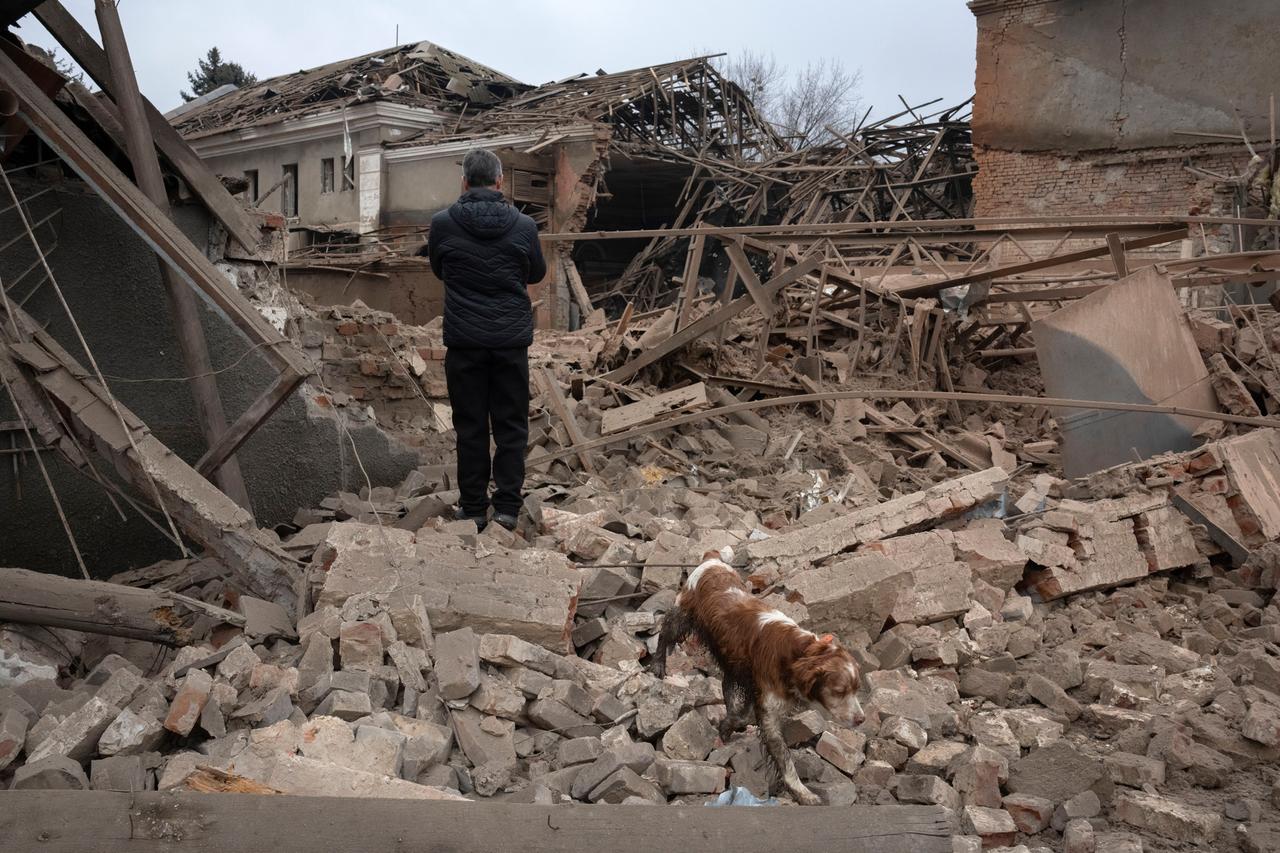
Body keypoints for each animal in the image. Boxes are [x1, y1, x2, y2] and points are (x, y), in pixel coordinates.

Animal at [655, 548, 865, 799]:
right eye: (839, 691)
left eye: (856, 690)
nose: (861, 719)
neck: (796, 653)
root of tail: (712, 559)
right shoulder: (768, 711)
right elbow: (784, 758)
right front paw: (802, 792)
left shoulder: (751, 686)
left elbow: (740, 715)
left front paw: (726, 727)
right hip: (681, 616)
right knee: (663, 636)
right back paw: (658, 665)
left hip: (731, 665)